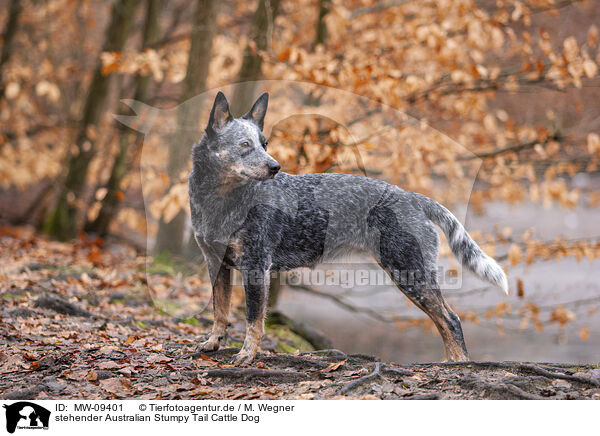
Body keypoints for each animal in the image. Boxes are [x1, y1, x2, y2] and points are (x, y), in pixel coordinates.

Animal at [190, 91, 508, 364]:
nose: (275, 167)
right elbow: (220, 310)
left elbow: (253, 319)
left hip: (409, 271)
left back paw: (460, 364)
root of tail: (413, 198)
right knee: (444, 320)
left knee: (450, 319)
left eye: (264, 143)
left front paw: (247, 354)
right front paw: (213, 342)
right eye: (245, 144)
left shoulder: (257, 266)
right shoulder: (216, 263)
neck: (220, 202)